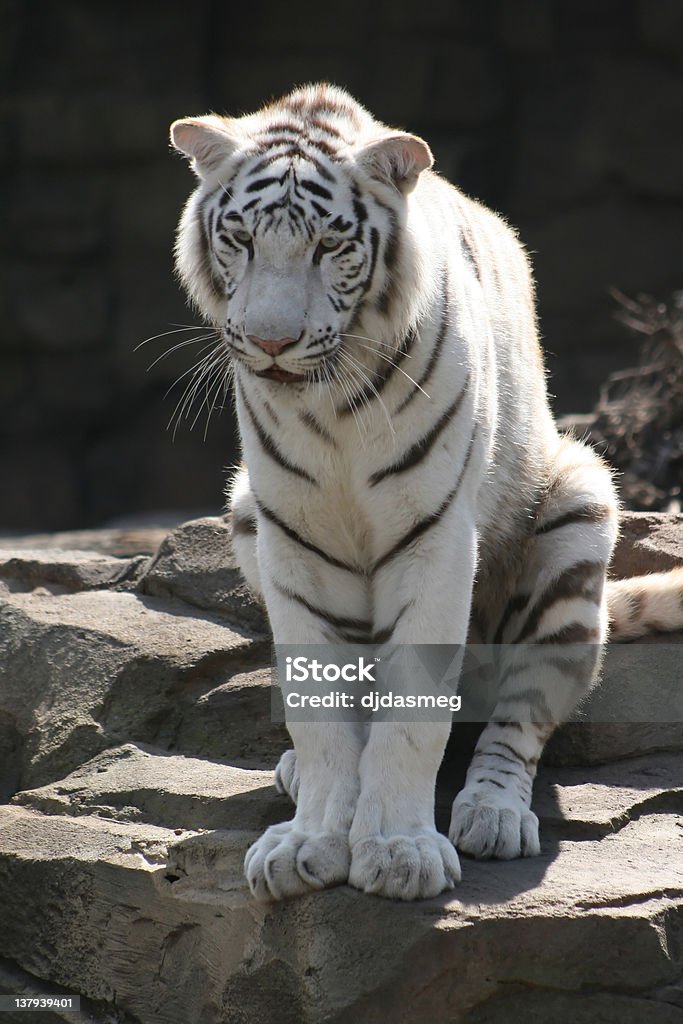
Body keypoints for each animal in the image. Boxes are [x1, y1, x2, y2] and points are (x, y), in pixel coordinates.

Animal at [172, 83, 683, 901]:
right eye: (241, 239)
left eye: (329, 246)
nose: (272, 343)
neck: (329, 405)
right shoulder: (293, 541)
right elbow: (320, 716)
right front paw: (310, 840)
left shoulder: (434, 536)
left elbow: (413, 717)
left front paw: (398, 851)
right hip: (244, 508)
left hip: (577, 507)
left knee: (520, 719)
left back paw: (491, 815)